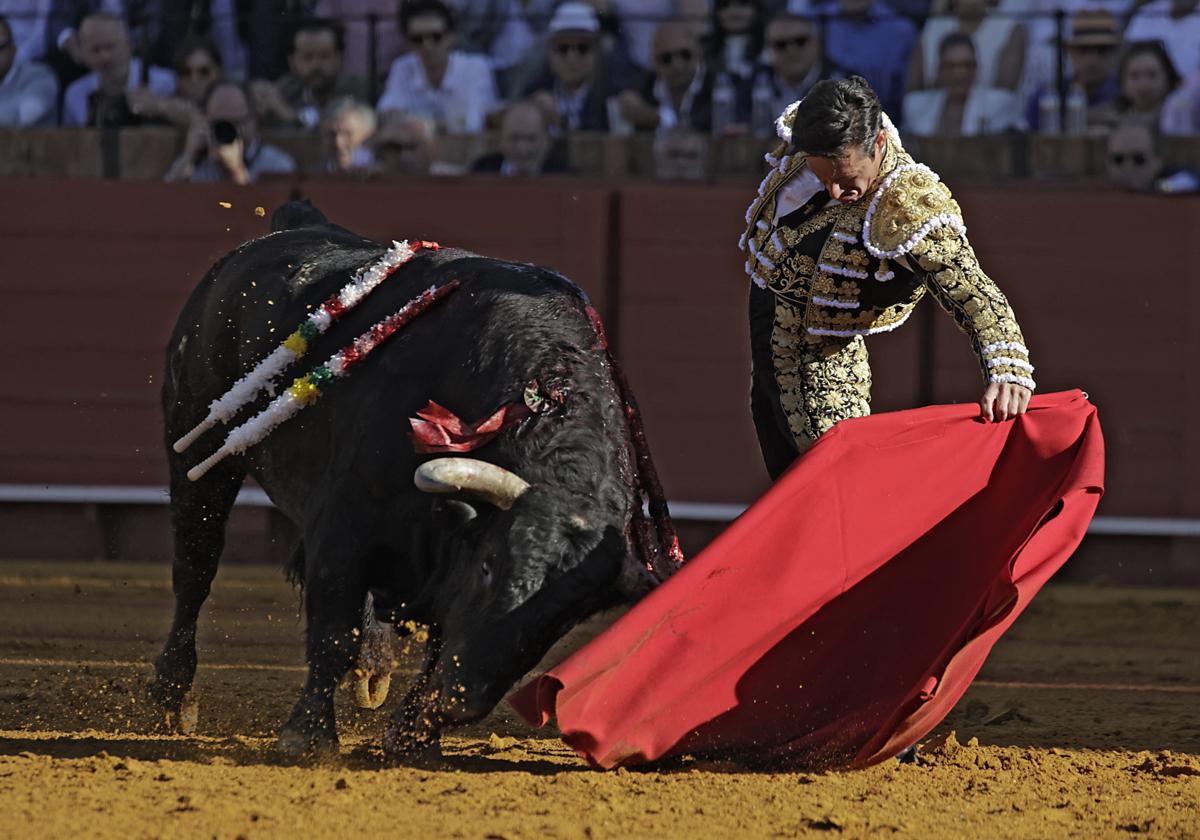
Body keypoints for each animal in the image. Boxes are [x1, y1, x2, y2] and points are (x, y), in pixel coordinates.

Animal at [152, 206, 657, 758]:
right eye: (489, 566)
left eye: (561, 620)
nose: (464, 699)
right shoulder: (343, 525)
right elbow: (334, 631)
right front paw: (308, 735)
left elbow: (436, 643)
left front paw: (414, 737)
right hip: (196, 447)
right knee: (195, 567)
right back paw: (174, 699)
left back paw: (373, 672)